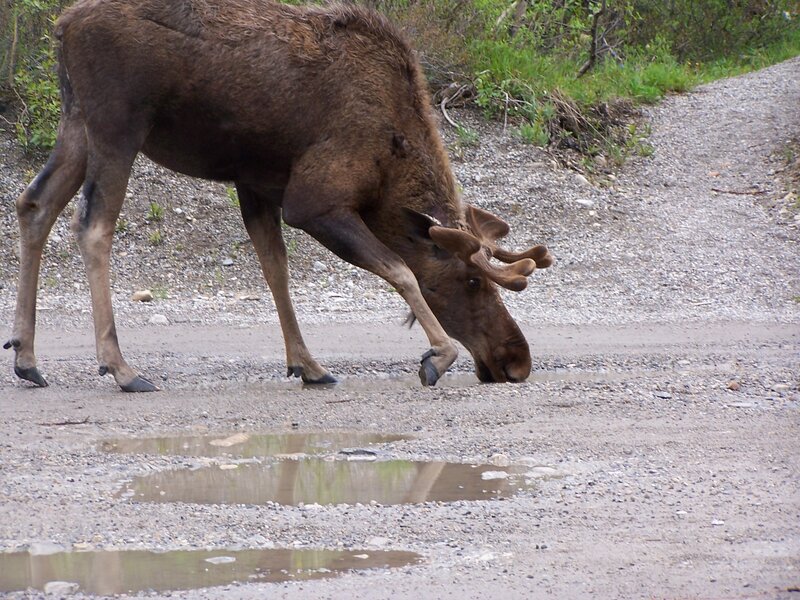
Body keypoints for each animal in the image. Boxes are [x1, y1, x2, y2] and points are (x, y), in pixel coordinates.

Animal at [6, 0, 553, 391]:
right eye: (472, 281)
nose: (516, 360)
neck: (390, 163)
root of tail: (62, 26)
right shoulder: (313, 200)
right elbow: (400, 269)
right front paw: (437, 354)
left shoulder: (257, 184)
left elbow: (276, 270)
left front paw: (307, 364)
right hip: (119, 126)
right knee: (92, 226)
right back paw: (120, 367)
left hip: (76, 121)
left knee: (34, 204)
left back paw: (27, 358)